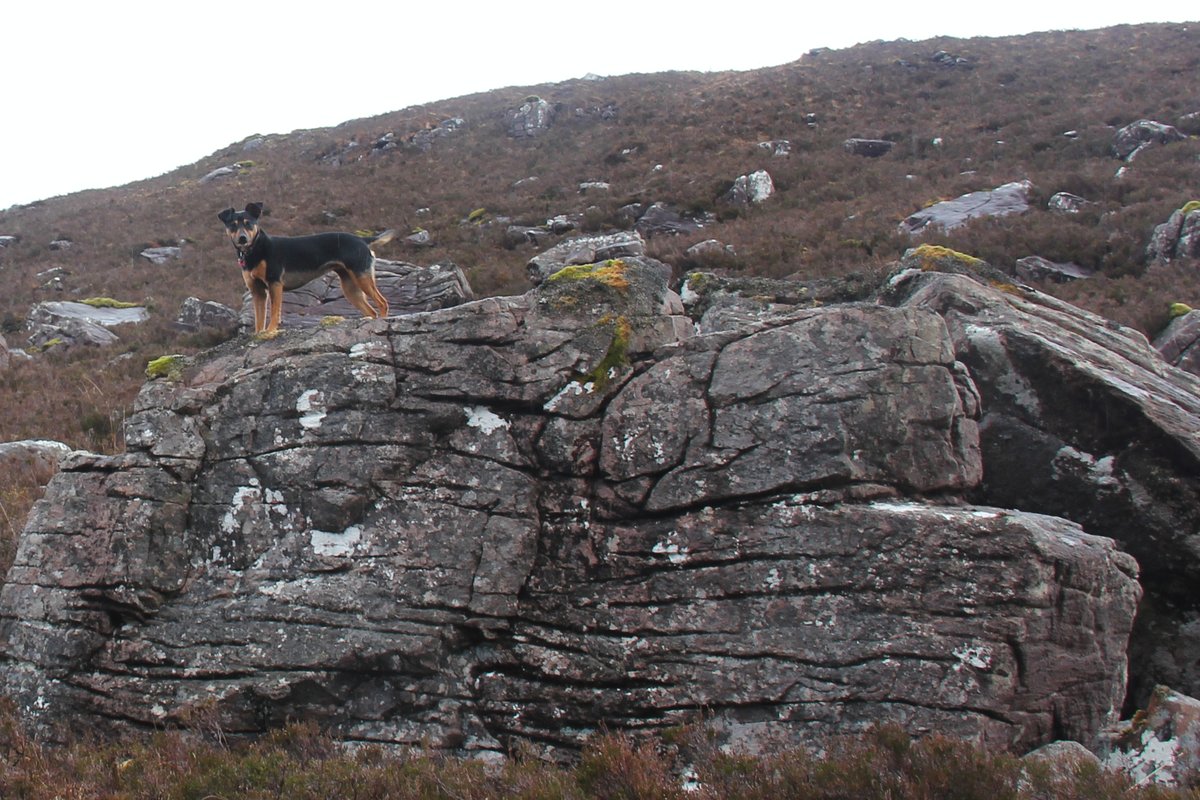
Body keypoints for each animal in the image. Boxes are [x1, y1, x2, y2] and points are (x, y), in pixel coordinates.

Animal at [218, 205, 396, 335]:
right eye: (233, 226)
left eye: (248, 223)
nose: (242, 239)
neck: (255, 249)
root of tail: (362, 240)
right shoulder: (257, 291)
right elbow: (259, 318)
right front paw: (259, 334)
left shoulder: (274, 283)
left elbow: (274, 312)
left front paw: (270, 331)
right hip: (350, 287)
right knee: (371, 311)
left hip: (362, 277)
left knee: (383, 303)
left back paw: (382, 323)